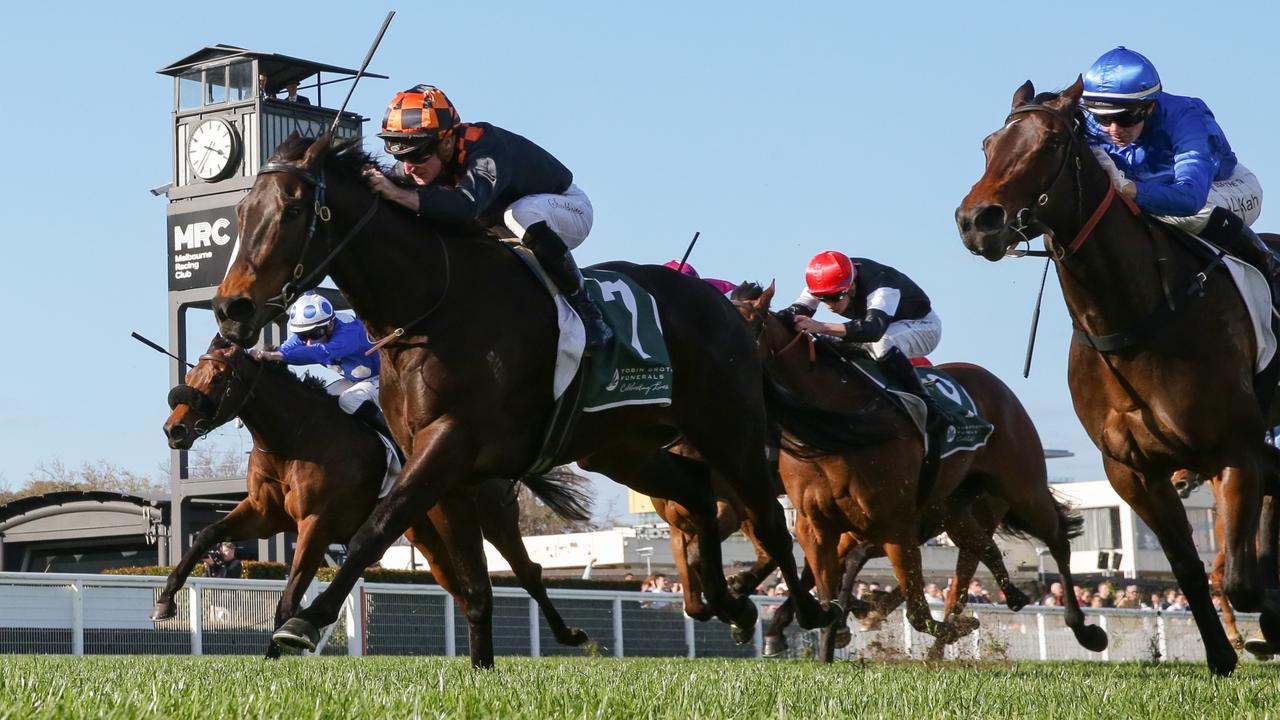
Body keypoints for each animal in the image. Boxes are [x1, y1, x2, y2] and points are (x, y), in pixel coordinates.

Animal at [156, 335, 588, 661]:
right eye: (190, 373)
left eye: (217, 378)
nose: (174, 430)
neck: (296, 436)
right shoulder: (264, 514)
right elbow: (208, 534)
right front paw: (166, 600)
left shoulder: (316, 523)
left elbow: (288, 599)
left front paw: (276, 654)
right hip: (428, 535)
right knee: (461, 584)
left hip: (494, 516)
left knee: (529, 571)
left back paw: (570, 635)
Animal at [212, 131, 890, 648]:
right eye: (240, 214)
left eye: (293, 211)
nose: (230, 309)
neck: (434, 304)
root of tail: (728, 309)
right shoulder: (448, 471)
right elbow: (472, 587)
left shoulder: (450, 444)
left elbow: (378, 525)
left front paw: (304, 622)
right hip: (618, 447)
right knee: (696, 491)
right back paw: (727, 604)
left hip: (731, 428)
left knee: (769, 521)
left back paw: (809, 612)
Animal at [732, 280, 1111, 655]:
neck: (835, 425)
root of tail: (996, 384)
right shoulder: (816, 526)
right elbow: (827, 604)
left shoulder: (894, 524)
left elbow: (916, 612)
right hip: (953, 509)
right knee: (981, 550)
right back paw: (1009, 598)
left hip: (1020, 486)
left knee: (1055, 539)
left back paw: (1085, 630)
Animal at [962, 78, 1280, 671]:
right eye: (988, 144)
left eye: (1051, 143)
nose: (976, 221)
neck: (1133, 319)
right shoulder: (1131, 472)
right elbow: (1191, 569)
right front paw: (1222, 655)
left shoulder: (1232, 453)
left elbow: (1239, 580)